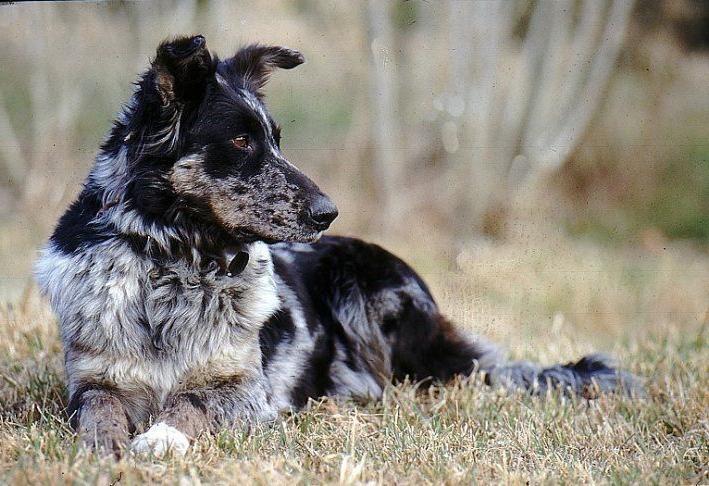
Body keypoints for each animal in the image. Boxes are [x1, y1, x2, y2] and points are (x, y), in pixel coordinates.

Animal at [36, 36, 640, 458]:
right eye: (241, 141)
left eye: (277, 139)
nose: (328, 211)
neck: (173, 265)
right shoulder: (93, 380)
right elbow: (98, 413)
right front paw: (101, 449)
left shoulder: (245, 391)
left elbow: (191, 403)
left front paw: (161, 438)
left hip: (359, 284)